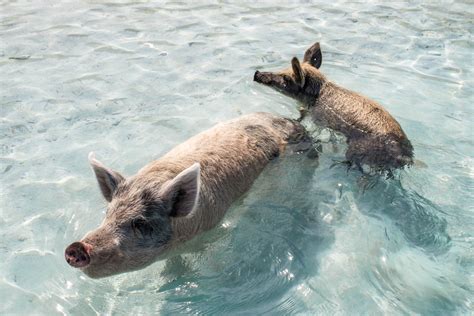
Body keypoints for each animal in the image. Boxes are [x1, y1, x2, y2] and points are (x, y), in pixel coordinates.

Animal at [254, 41, 412, 174]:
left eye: (286, 78)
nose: (257, 73)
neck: (317, 94)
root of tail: (407, 158)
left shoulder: (316, 118)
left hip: (356, 150)